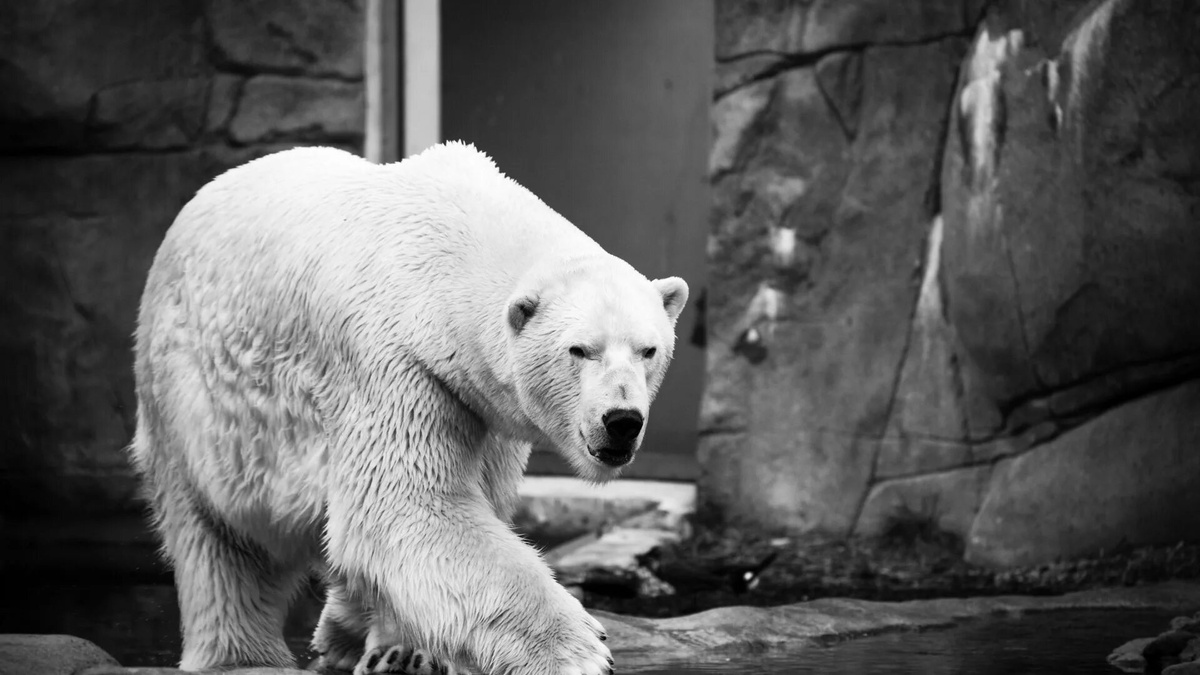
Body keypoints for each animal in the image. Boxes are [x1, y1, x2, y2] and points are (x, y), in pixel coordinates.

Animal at [129, 142, 689, 675]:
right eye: (579, 350)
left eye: (648, 350)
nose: (621, 422)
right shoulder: (395, 364)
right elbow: (408, 504)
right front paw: (578, 651)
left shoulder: (480, 406)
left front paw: (407, 650)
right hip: (193, 396)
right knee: (219, 540)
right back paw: (241, 655)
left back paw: (345, 633)